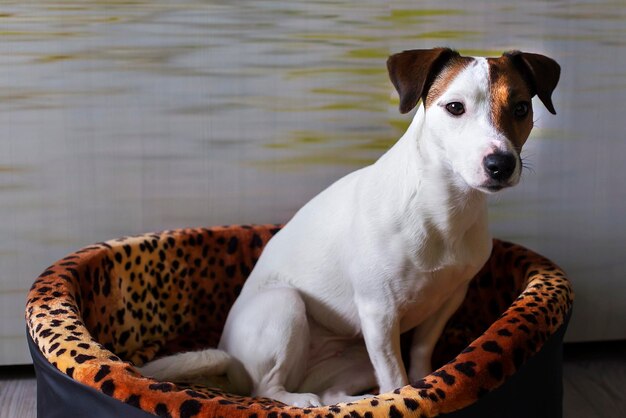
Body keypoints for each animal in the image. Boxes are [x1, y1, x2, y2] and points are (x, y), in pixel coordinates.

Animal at [139, 47, 560, 406]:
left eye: (521, 107)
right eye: (455, 107)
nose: (500, 164)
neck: (443, 207)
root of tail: (230, 359)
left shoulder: (448, 299)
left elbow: (420, 356)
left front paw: (427, 385)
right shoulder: (379, 313)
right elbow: (396, 379)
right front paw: (404, 398)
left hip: (356, 354)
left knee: (331, 395)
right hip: (285, 306)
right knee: (266, 389)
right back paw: (298, 399)